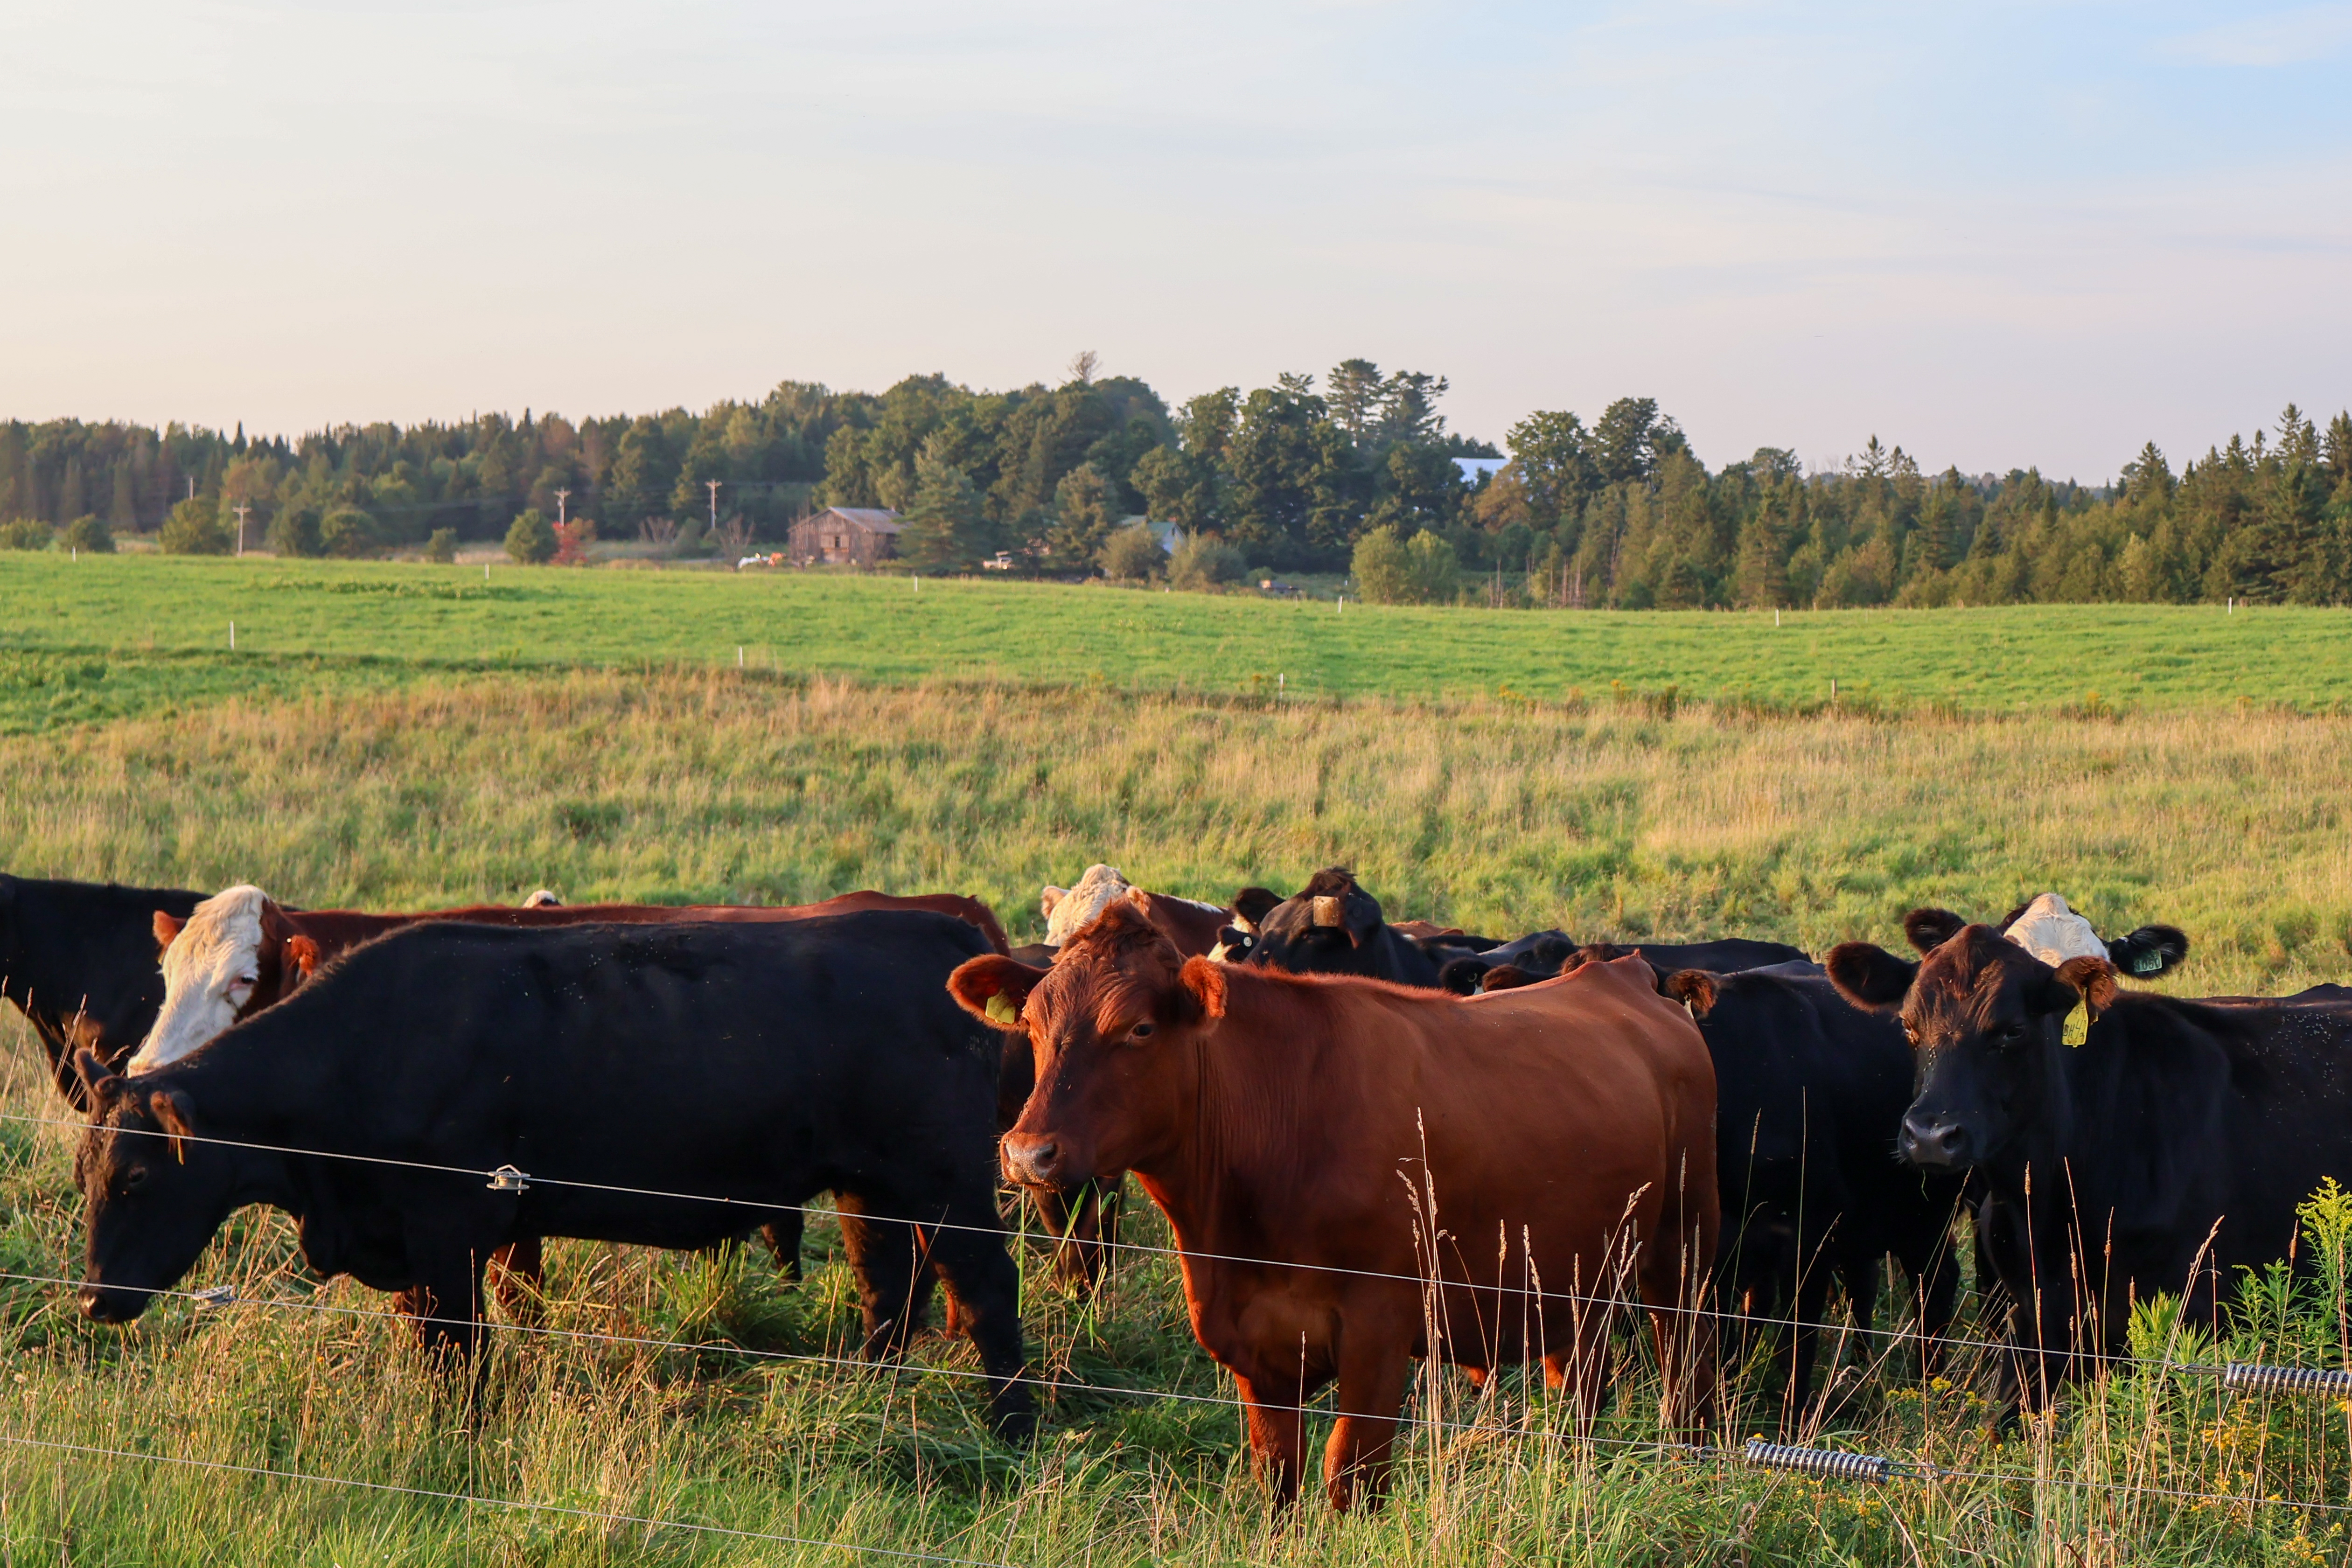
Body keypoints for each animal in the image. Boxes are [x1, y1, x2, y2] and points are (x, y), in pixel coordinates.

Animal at [73, 913, 1035, 1438]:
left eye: (136, 1179)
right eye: (85, 1174)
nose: (91, 1297)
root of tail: (944, 935)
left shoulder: (447, 1232)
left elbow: (457, 1350)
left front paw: (456, 1441)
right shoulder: (405, 1239)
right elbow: (430, 1342)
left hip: (949, 1180)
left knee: (984, 1288)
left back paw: (1010, 1431)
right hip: (871, 1186)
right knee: (890, 1291)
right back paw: (864, 1399)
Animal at [948, 899, 1718, 1509]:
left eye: (1138, 1029)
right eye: (1033, 1027)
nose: (1028, 1153)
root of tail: (1626, 975)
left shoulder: (1381, 1328)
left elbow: (1350, 1471)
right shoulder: (1255, 1345)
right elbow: (1277, 1477)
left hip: (1681, 1253)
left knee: (1688, 1372)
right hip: (1572, 1280)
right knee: (1579, 1389)